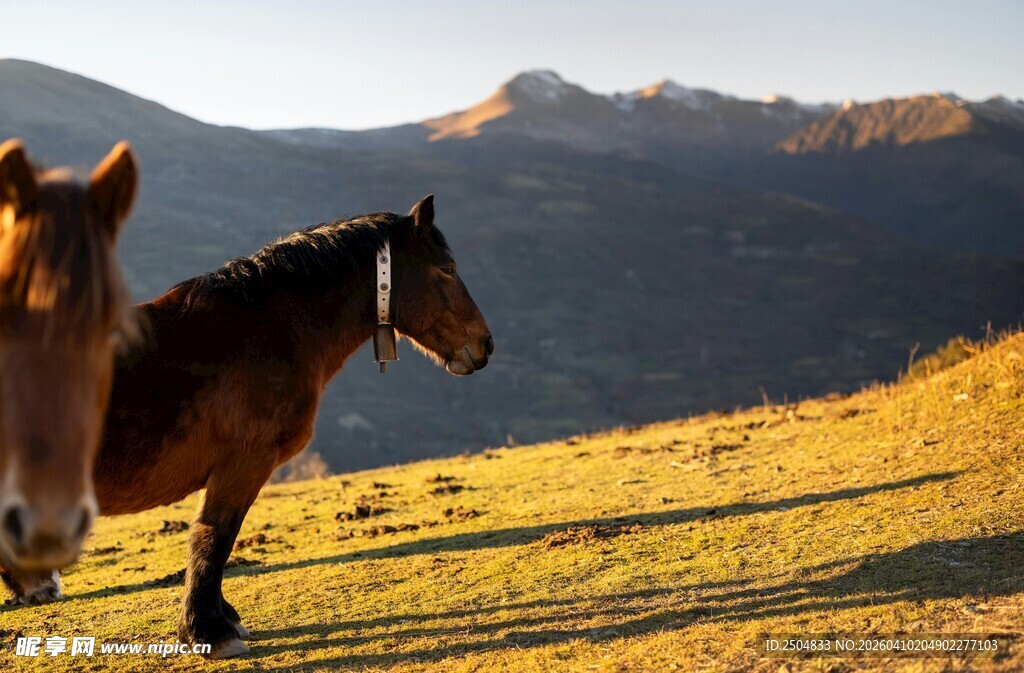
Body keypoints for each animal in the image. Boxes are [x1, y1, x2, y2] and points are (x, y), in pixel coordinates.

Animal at [5, 195, 493, 658]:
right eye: (447, 269)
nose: (485, 344)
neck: (271, 327)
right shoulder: (244, 463)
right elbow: (214, 538)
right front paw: (208, 632)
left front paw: (220, 619)